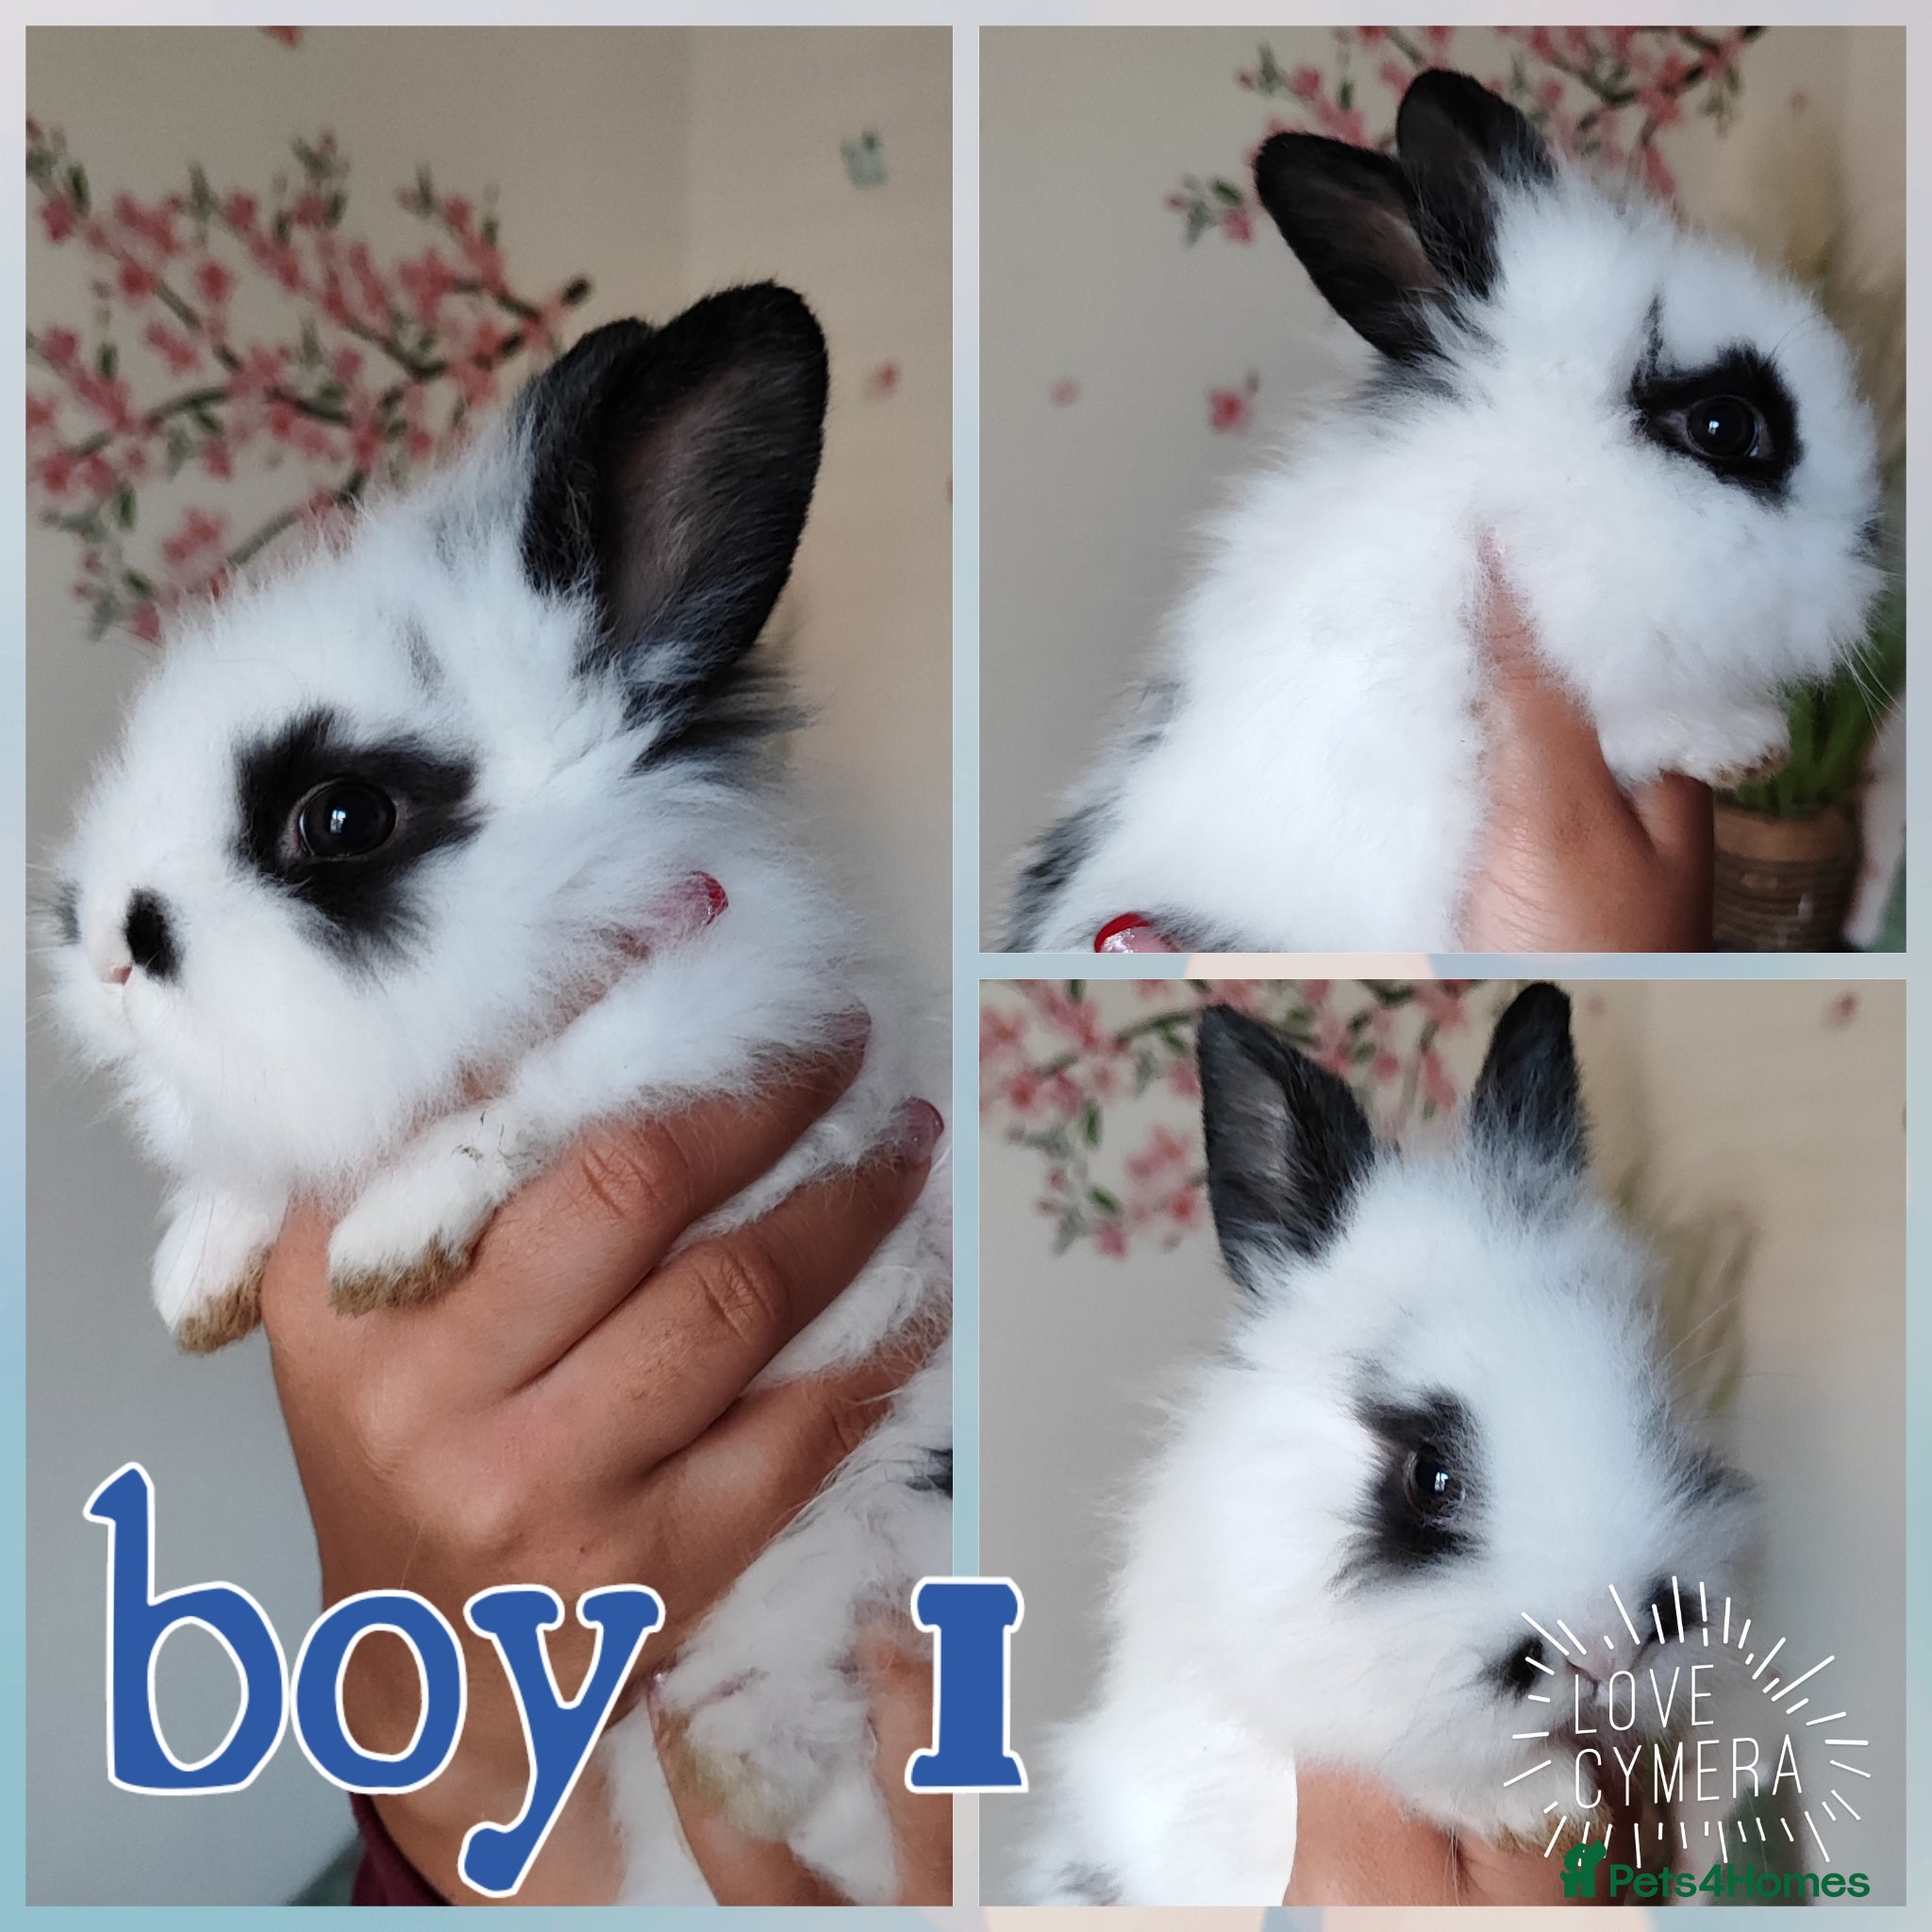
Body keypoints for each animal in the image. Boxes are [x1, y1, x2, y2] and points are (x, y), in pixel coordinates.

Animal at [43, 283, 950, 1905]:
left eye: (343, 814)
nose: (101, 946)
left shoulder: (714, 1013)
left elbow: (530, 1098)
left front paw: (387, 1244)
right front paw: (200, 1276)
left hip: (882, 1520)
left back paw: (746, 1754)